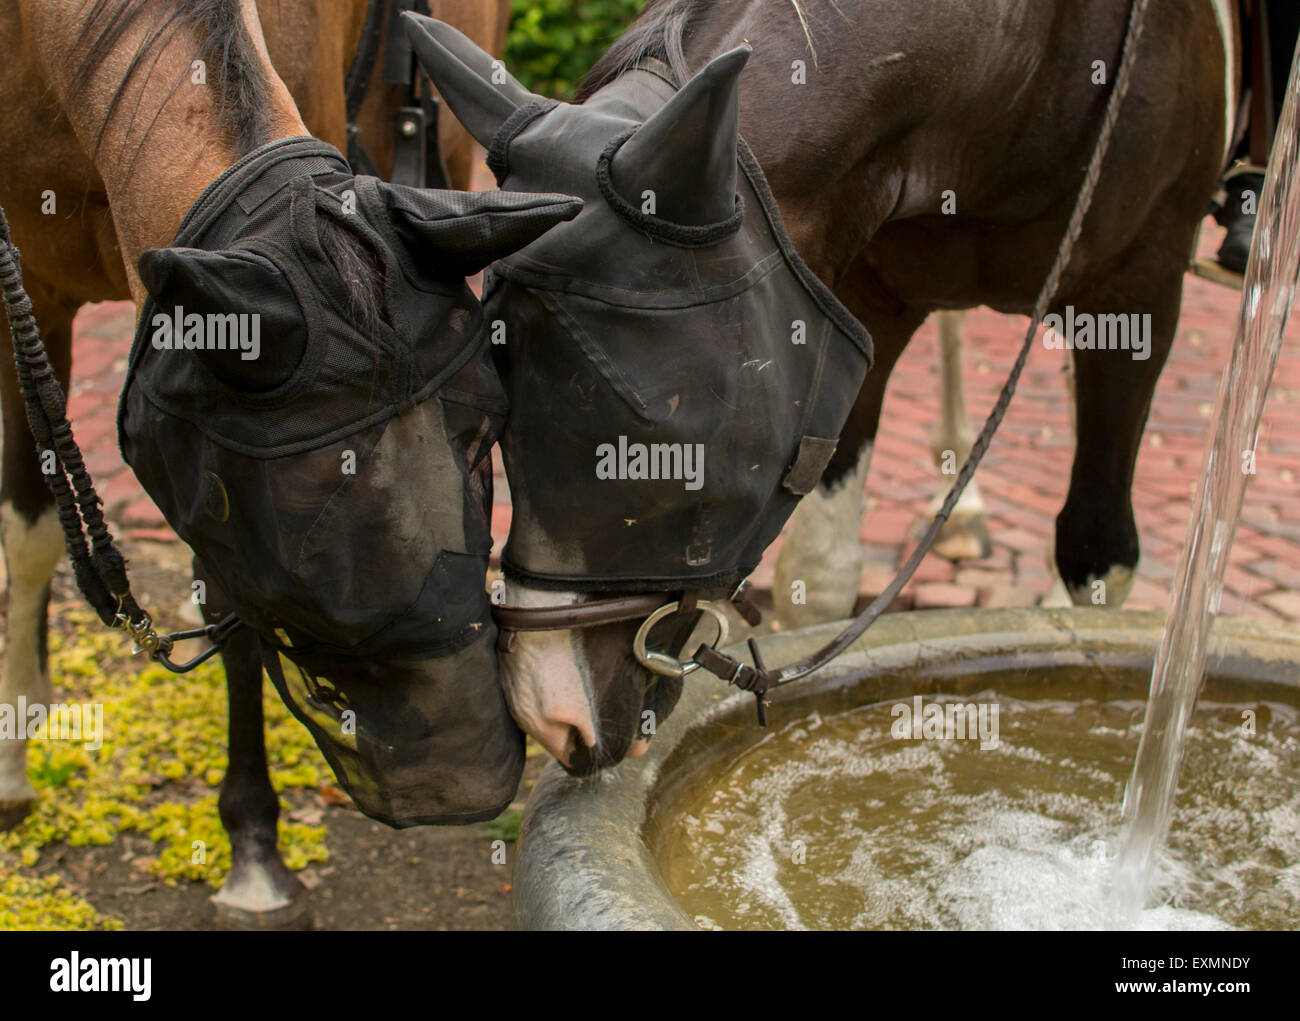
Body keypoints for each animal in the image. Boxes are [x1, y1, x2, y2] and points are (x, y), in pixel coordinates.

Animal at [0, 0, 517, 926]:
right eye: (293, 503)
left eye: (484, 434)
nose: (471, 764)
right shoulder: (31, 288)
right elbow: (28, 530)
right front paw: (15, 754)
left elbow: (230, 605)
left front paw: (252, 846)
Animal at [408, 1, 1237, 775]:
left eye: (668, 426)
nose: (553, 711)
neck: (1028, 58)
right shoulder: (864, 298)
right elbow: (822, 567)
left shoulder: (1140, 290)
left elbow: (1098, 552)